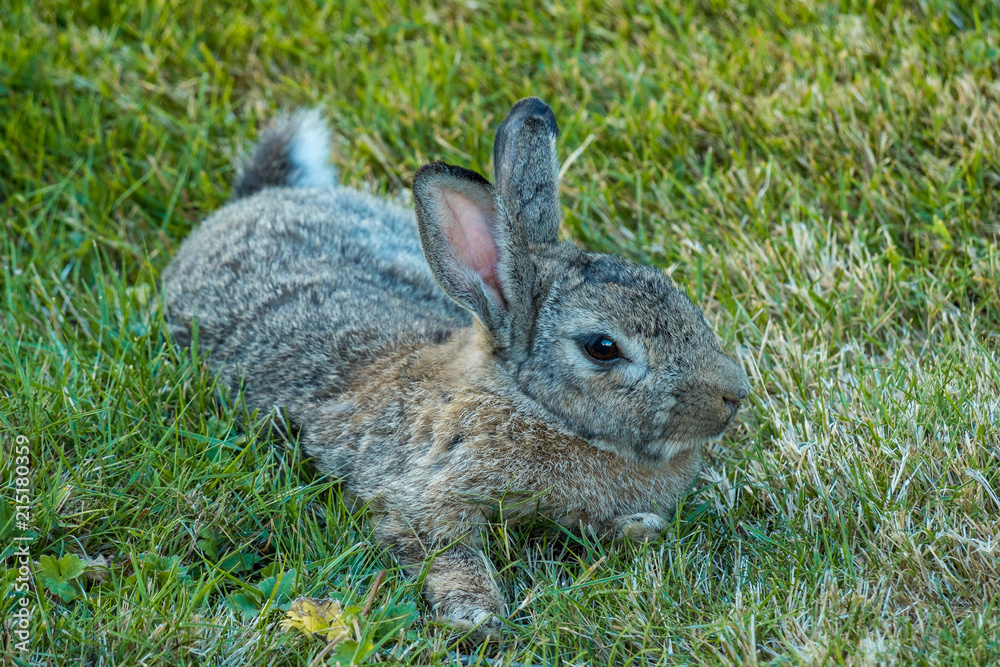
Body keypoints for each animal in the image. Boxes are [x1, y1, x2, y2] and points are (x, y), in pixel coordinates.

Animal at [162, 98, 750, 641]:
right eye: (602, 347)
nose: (734, 394)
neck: (527, 403)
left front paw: (638, 528)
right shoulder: (419, 494)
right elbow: (445, 549)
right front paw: (479, 615)